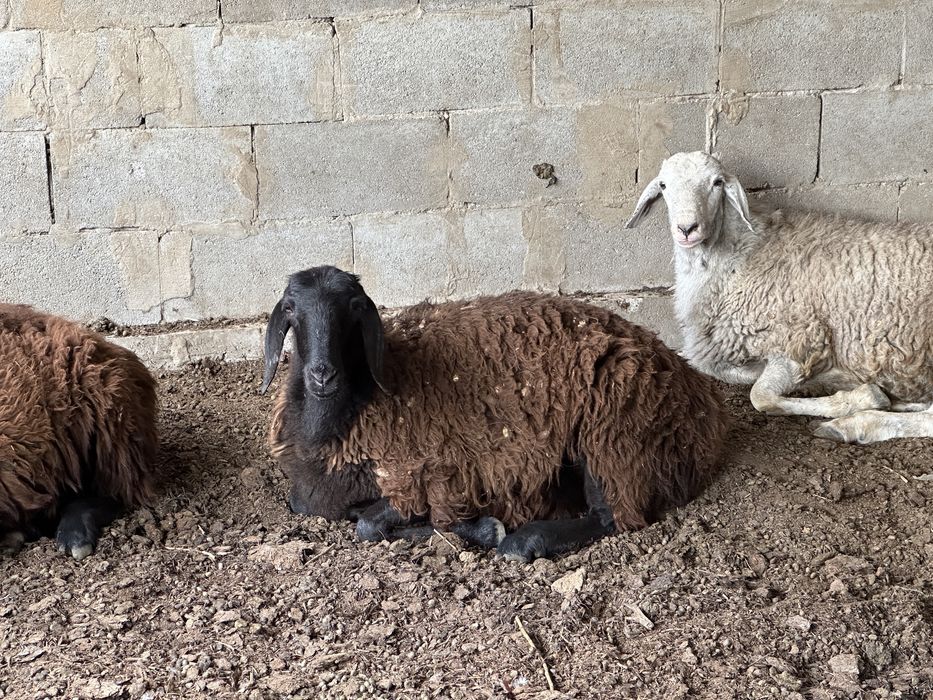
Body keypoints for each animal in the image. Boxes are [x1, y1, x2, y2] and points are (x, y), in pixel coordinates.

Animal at [261, 266, 727, 561]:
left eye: (355, 308)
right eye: (291, 308)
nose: (323, 375)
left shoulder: (430, 474)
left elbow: (372, 526)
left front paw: (484, 527)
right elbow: (318, 508)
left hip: (608, 433)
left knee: (612, 516)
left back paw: (525, 541)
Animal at [625, 150, 933, 444]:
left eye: (717, 183)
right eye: (664, 185)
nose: (687, 229)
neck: (741, 257)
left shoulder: (799, 341)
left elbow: (761, 397)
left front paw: (860, 398)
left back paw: (854, 424)